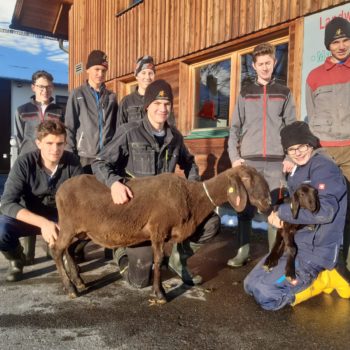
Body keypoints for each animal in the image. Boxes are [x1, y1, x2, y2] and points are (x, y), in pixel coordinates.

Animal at [52, 165, 270, 302]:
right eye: (248, 179)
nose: (268, 202)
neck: (192, 197)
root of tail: (60, 189)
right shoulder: (158, 229)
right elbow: (157, 261)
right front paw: (160, 293)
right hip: (69, 226)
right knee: (56, 250)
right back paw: (71, 288)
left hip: (82, 231)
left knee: (68, 250)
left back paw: (79, 281)